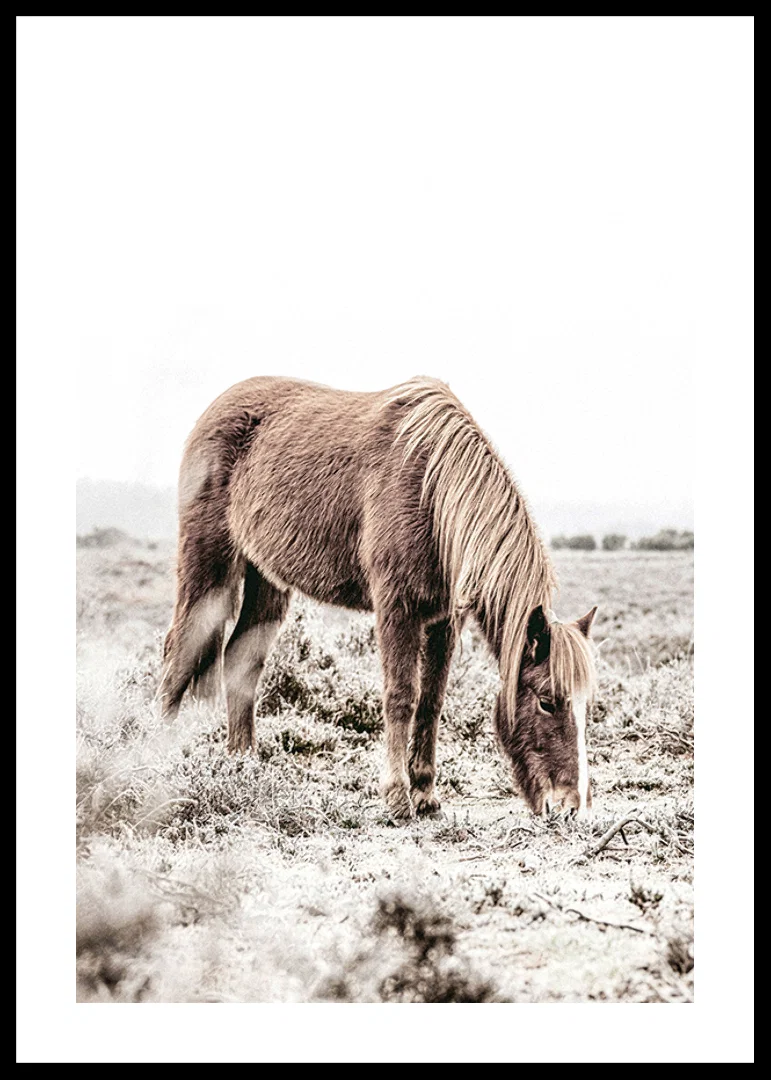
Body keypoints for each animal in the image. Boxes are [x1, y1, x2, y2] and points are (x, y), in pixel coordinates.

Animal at [159, 375, 598, 819]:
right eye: (546, 701)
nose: (569, 806)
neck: (430, 493)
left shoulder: (444, 620)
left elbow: (431, 702)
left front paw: (425, 794)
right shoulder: (395, 607)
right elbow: (401, 696)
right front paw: (397, 797)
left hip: (266, 580)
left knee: (241, 663)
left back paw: (243, 766)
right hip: (209, 567)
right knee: (179, 653)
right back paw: (158, 758)